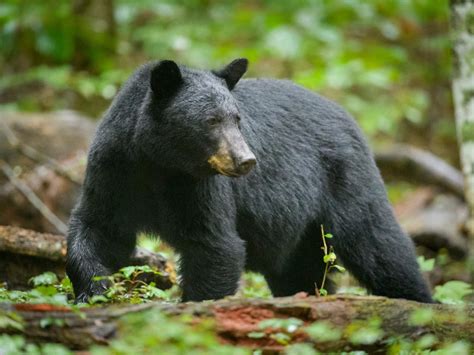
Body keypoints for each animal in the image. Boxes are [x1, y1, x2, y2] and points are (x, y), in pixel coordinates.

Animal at [66, 57, 434, 304]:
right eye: (211, 120)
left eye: (237, 118)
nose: (246, 160)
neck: (159, 163)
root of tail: (347, 115)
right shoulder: (114, 170)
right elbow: (100, 230)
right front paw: (94, 291)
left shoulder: (199, 188)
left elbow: (216, 245)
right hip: (301, 230)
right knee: (300, 271)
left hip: (345, 179)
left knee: (379, 244)